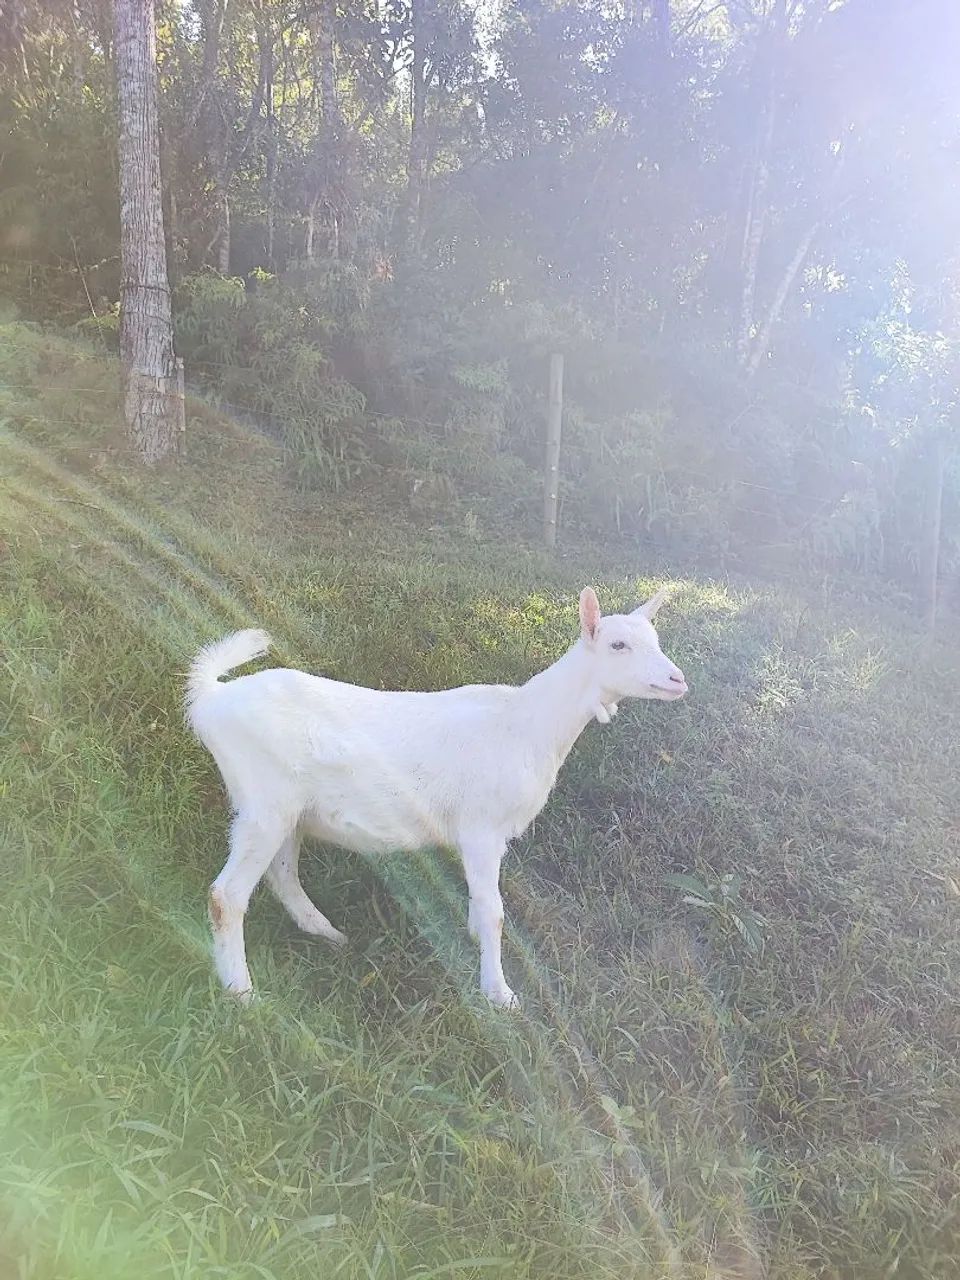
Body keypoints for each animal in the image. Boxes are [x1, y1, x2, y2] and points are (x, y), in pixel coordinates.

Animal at [186, 586, 687, 1007]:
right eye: (618, 645)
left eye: (656, 639)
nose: (677, 679)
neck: (527, 724)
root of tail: (212, 697)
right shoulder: (482, 828)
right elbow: (495, 912)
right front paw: (499, 994)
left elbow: (480, 903)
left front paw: (473, 941)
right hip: (265, 802)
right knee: (226, 895)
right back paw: (242, 993)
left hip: (286, 809)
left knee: (281, 873)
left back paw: (326, 932)